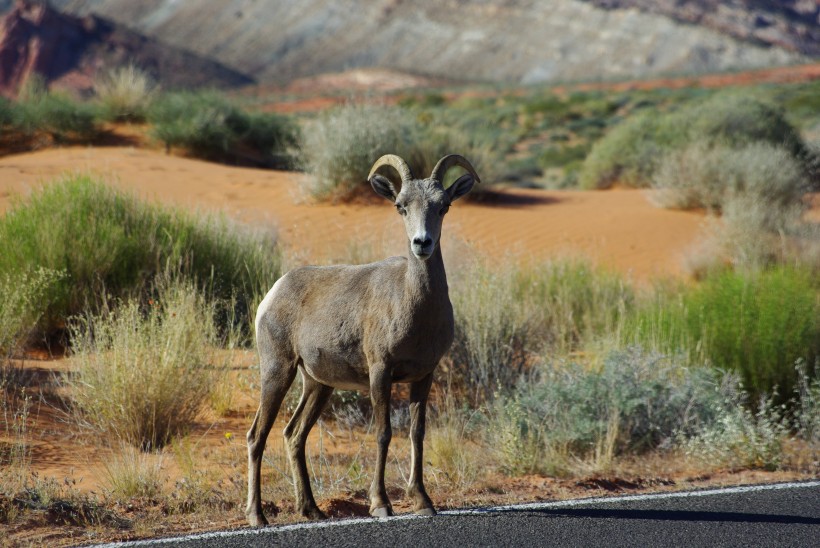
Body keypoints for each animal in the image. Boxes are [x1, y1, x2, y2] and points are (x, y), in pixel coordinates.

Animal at [247, 153, 478, 524]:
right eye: (400, 206)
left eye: (444, 206)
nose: (422, 243)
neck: (414, 306)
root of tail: (274, 293)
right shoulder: (380, 372)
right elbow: (383, 434)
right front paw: (381, 505)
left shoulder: (424, 377)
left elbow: (417, 434)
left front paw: (423, 502)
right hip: (277, 371)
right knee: (258, 435)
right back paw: (257, 517)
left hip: (318, 385)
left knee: (294, 435)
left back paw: (312, 510)